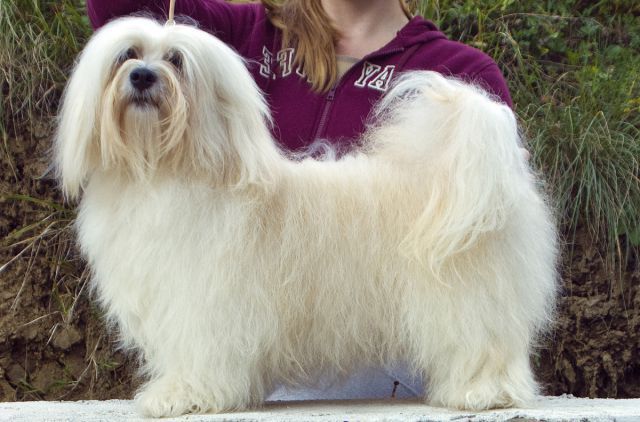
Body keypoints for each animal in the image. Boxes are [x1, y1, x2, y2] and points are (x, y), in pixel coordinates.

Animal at [55, 17, 557, 417]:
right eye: (128, 54)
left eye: (176, 61)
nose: (142, 76)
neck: (164, 168)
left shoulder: (203, 299)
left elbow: (199, 349)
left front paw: (183, 395)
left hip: (468, 298)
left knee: (483, 344)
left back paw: (484, 393)